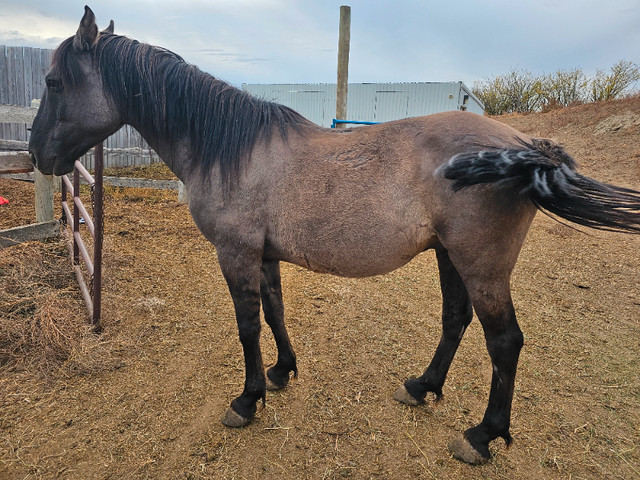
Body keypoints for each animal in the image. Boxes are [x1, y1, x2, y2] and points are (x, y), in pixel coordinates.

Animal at [27, 6, 640, 464]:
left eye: (55, 82)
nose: (37, 155)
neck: (230, 149)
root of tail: (524, 144)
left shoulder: (236, 254)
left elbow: (247, 325)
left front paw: (247, 401)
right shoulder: (263, 255)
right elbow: (275, 312)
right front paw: (280, 373)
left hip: (481, 264)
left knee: (505, 341)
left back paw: (482, 437)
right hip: (450, 255)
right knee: (455, 320)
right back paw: (421, 387)